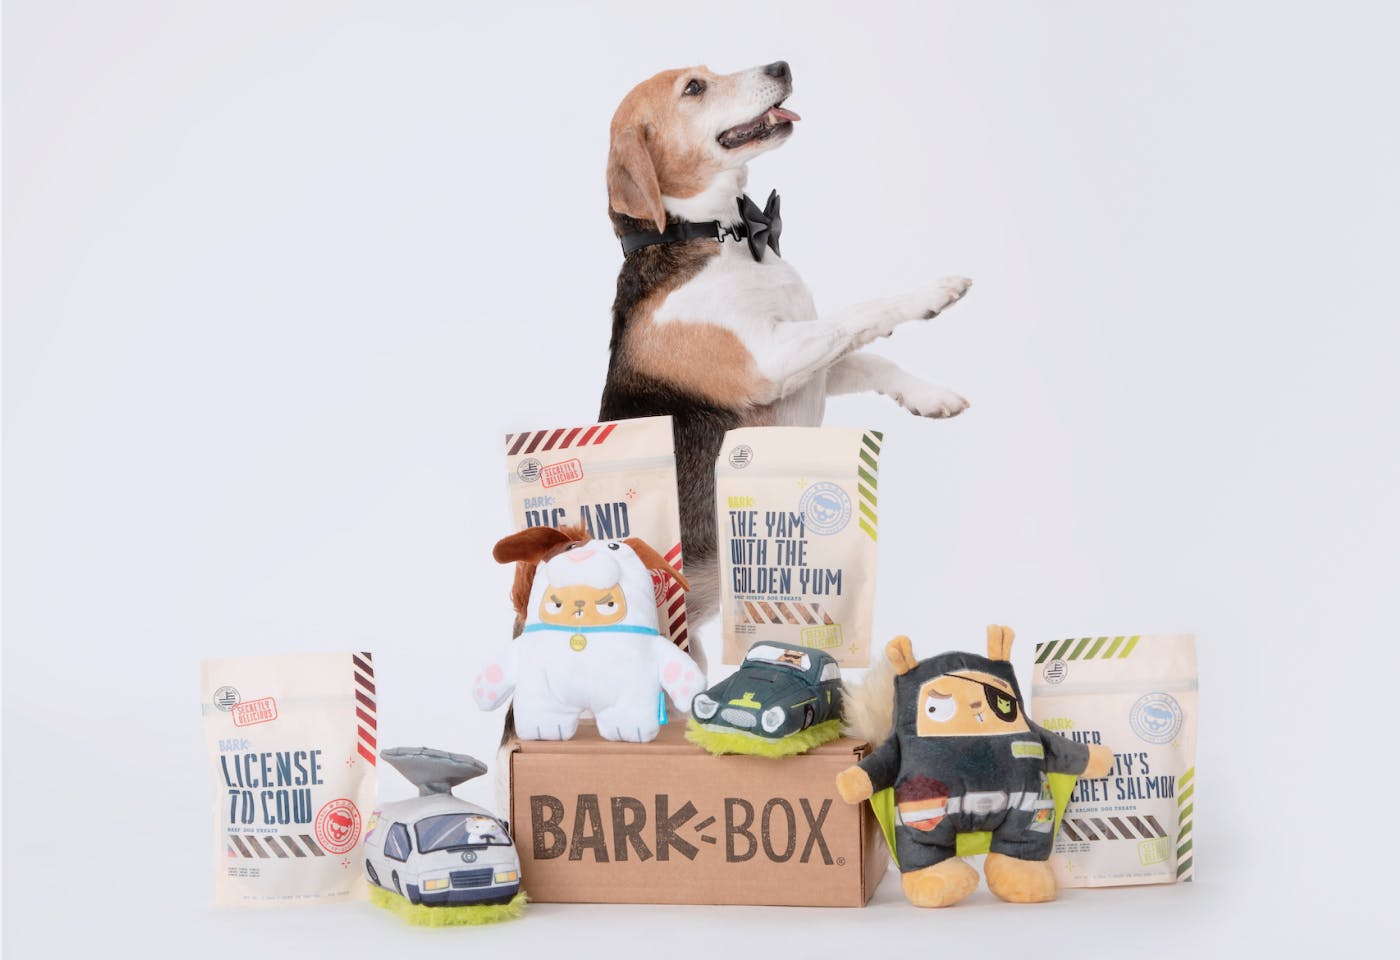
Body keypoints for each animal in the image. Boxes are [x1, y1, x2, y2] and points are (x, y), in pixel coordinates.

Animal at [596, 56, 968, 666]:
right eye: (694, 88)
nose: (781, 65)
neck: (723, 237)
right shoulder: (768, 361)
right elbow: (863, 311)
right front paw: (932, 294)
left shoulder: (806, 360)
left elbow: (871, 354)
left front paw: (930, 396)